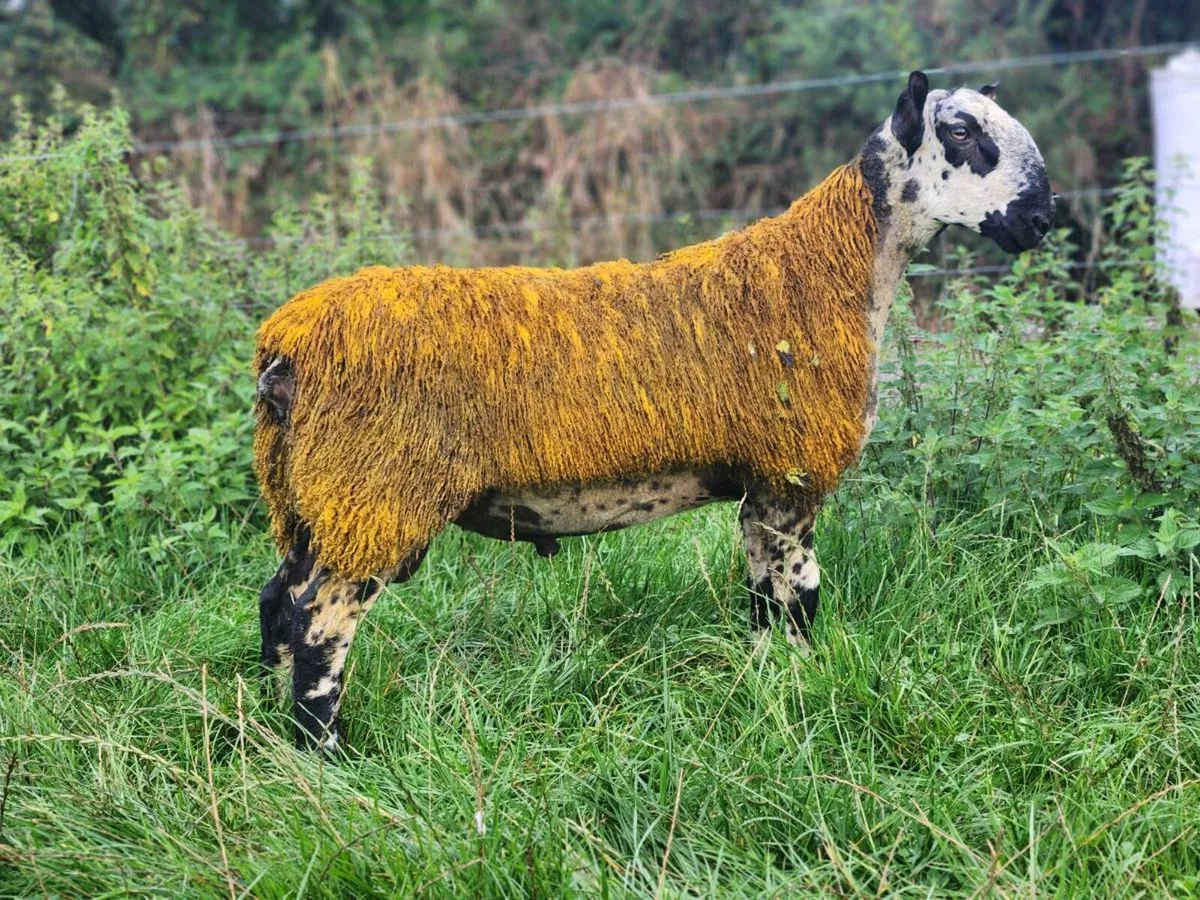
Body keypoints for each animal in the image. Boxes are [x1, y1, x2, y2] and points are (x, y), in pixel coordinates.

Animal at [254, 71, 1054, 750]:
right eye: (960, 132)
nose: (1043, 218)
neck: (829, 271)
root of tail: (287, 343)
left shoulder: (761, 489)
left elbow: (762, 600)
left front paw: (768, 685)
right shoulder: (790, 477)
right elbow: (801, 597)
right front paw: (806, 687)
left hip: (314, 498)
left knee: (278, 603)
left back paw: (267, 727)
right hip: (375, 491)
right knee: (321, 624)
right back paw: (325, 756)